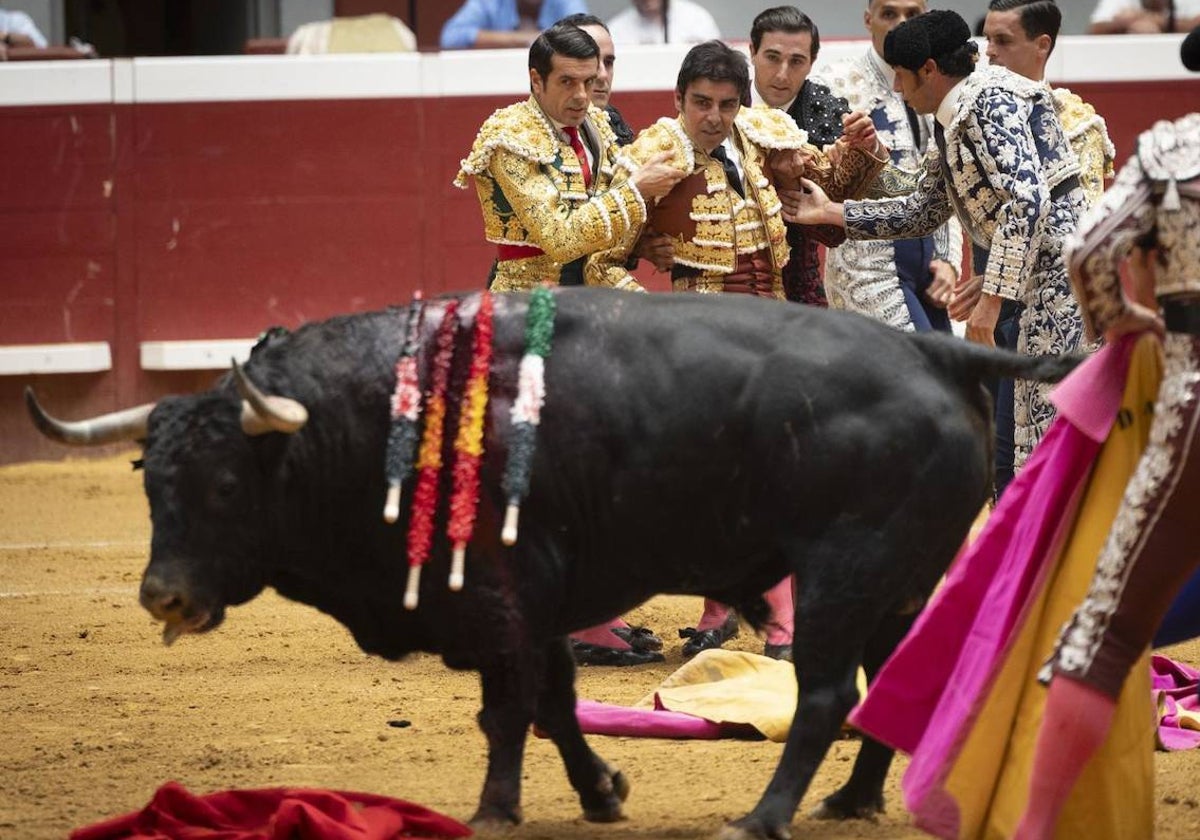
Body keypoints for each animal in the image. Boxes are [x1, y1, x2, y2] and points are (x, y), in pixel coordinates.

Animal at [28, 290, 1080, 840]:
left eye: (221, 486)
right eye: (151, 483)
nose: (163, 595)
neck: (369, 423)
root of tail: (931, 349)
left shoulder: (498, 599)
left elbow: (507, 711)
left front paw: (496, 811)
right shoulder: (539, 607)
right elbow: (557, 703)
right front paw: (602, 792)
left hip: (843, 572)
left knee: (824, 694)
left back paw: (764, 815)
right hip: (897, 580)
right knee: (889, 680)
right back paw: (853, 801)